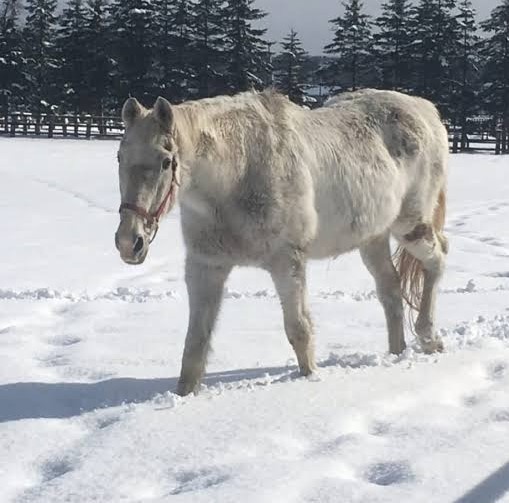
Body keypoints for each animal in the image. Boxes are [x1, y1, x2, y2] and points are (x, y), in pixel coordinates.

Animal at [114, 89, 449, 396]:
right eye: (120, 157)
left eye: (165, 161)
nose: (130, 242)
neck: (237, 175)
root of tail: (426, 110)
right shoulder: (205, 266)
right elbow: (196, 341)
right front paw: (184, 393)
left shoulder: (287, 262)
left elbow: (299, 329)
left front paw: (309, 378)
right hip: (373, 237)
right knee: (391, 290)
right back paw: (397, 353)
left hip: (410, 225)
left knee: (437, 261)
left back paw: (429, 338)